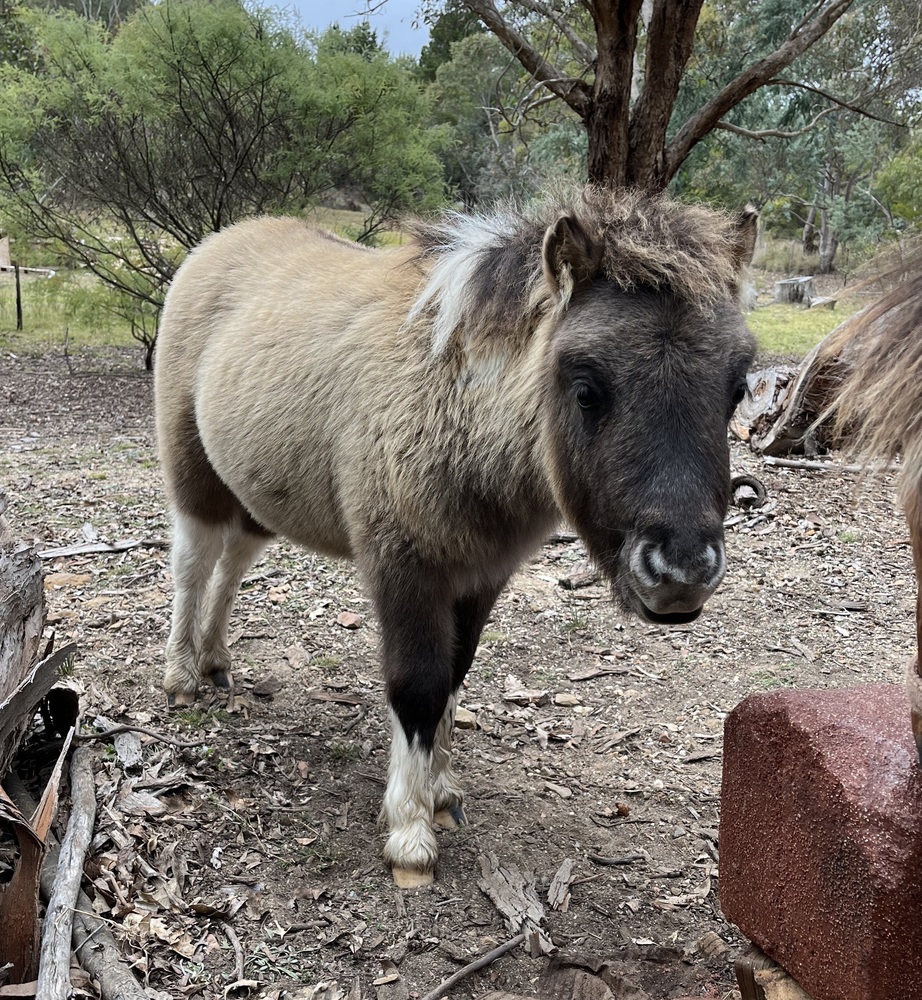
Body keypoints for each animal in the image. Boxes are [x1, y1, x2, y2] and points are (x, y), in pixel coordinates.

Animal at [153, 187, 758, 880]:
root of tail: (217, 243)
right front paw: (410, 833)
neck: (453, 399)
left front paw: (441, 793)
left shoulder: (481, 577)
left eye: (738, 388)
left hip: (254, 494)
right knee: (193, 563)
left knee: (231, 564)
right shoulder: (405, 570)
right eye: (586, 388)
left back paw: (215, 661)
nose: (682, 573)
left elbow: (453, 675)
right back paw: (180, 675)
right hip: (194, 476)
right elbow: (418, 685)